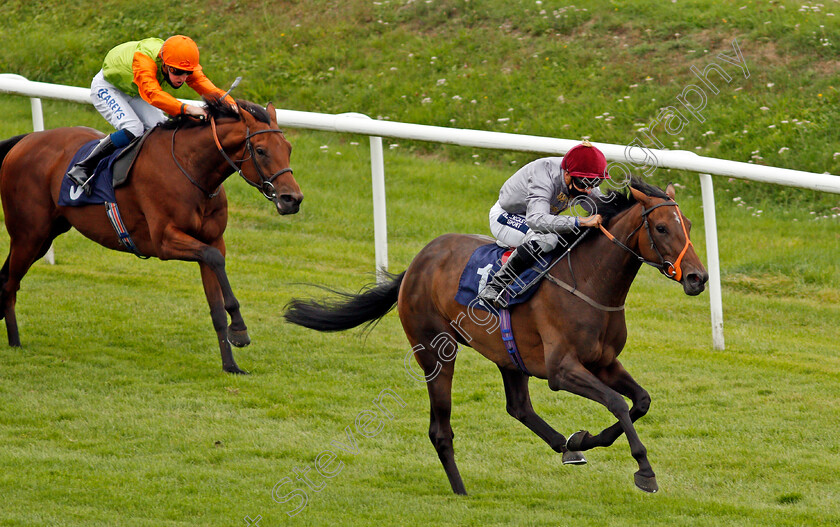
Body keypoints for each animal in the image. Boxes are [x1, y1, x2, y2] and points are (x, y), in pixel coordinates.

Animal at [0, 97, 302, 374]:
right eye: (260, 150)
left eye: (288, 148)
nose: (292, 199)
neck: (193, 170)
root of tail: (26, 140)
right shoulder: (164, 241)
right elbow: (214, 258)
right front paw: (239, 329)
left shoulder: (212, 240)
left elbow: (216, 301)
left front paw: (231, 363)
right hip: (29, 234)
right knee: (10, 284)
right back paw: (15, 341)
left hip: (44, 236)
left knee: (6, 277)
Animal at [284, 180, 708, 496]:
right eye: (661, 228)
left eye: (687, 224)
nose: (698, 277)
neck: (588, 281)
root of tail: (419, 262)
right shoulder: (562, 370)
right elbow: (618, 403)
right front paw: (645, 471)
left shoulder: (603, 362)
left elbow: (641, 401)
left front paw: (584, 439)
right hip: (435, 351)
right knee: (440, 428)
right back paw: (460, 490)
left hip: (509, 354)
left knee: (519, 407)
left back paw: (566, 448)